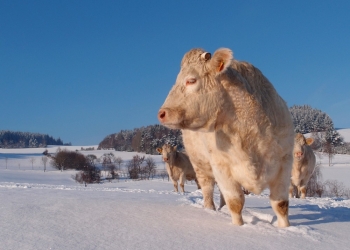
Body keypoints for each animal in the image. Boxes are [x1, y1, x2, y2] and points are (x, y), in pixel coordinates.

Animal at [157, 47, 294, 227]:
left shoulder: (285, 163)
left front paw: (285, 228)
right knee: (207, 189)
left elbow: (281, 205)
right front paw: (238, 227)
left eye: (191, 80)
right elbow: (235, 203)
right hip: (200, 165)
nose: (161, 113)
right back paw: (210, 209)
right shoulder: (221, 166)